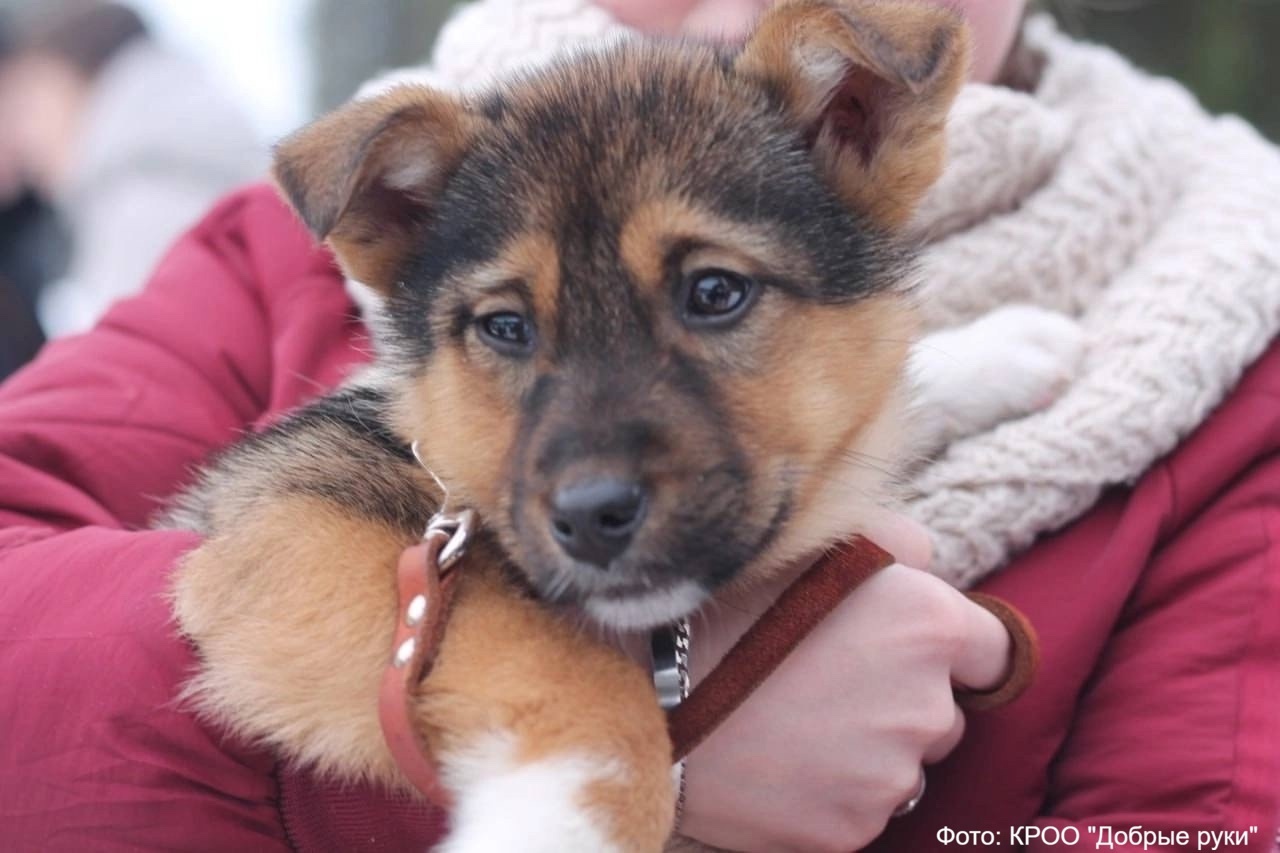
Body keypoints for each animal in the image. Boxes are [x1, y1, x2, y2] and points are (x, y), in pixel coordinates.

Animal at [167, 0, 1070, 845]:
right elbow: (560, 655)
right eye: (506, 327)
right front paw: (557, 823)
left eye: (715, 291)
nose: (592, 517)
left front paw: (1002, 349)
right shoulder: (305, 522)